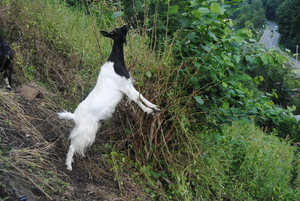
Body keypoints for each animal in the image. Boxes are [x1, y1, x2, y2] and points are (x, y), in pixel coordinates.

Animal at [59, 24, 162, 170]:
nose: (125, 25)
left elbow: (140, 96)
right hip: (87, 130)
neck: (115, 63)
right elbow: (136, 99)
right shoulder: (124, 87)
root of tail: (75, 116)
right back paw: (68, 165)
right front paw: (148, 111)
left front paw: (154, 107)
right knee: (73, 145)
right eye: (115, 31)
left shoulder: (128, 85)